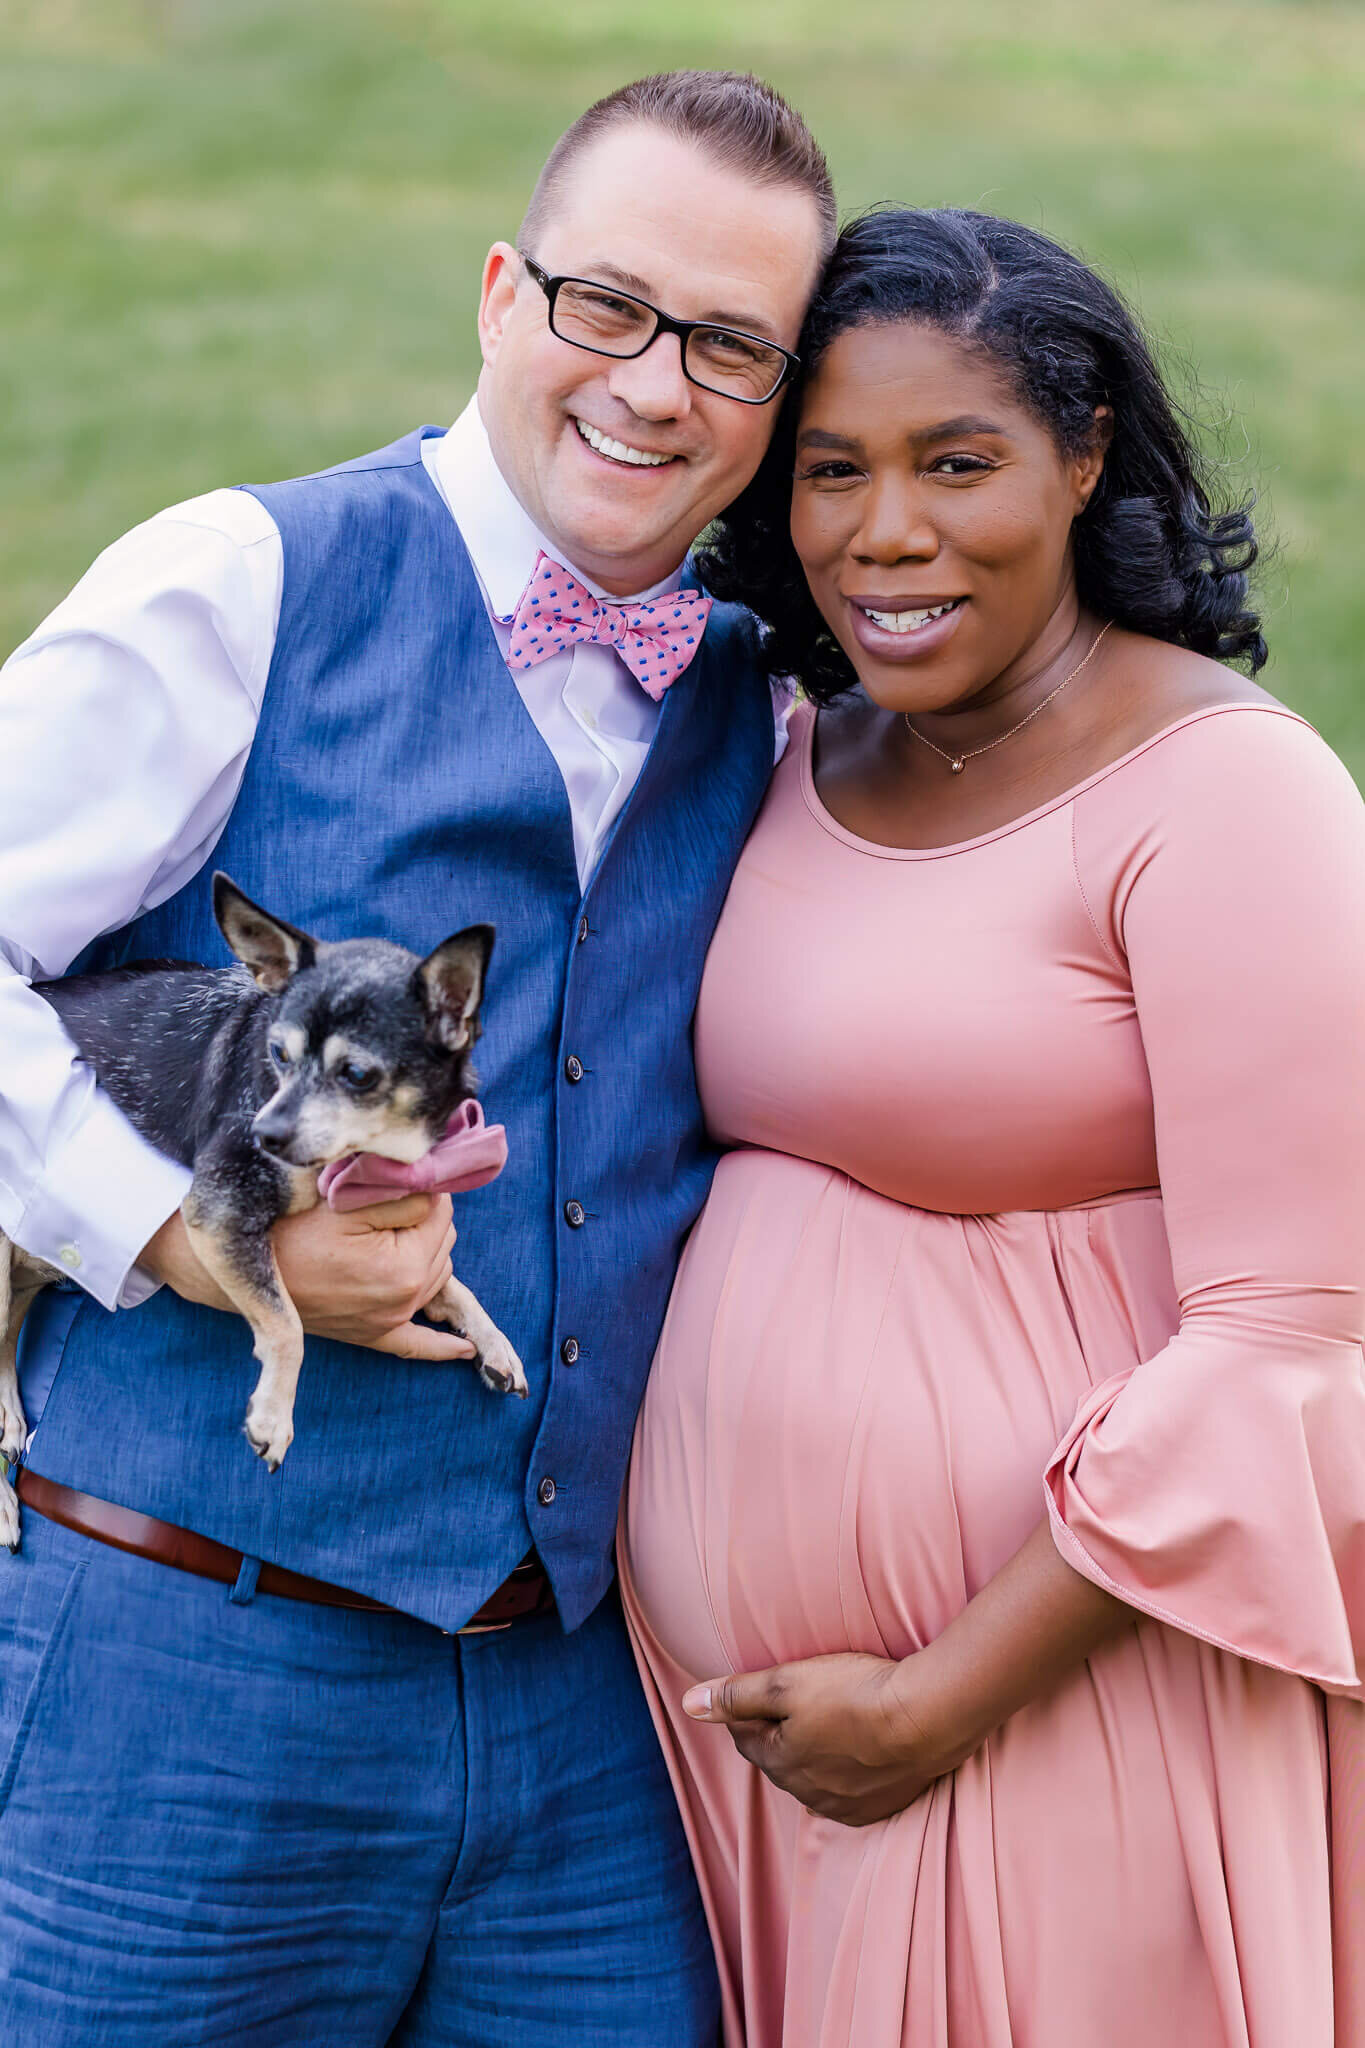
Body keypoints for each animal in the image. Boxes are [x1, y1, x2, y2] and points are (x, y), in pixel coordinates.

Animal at [0, 872, 527, 1540]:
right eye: (278, 1055)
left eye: (357, 1074)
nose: (264, 1133)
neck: (367, 1161)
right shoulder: (220, 1205)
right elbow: (287, 1323)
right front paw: (274, 1416)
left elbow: (451, 1283)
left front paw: (492, 1339)